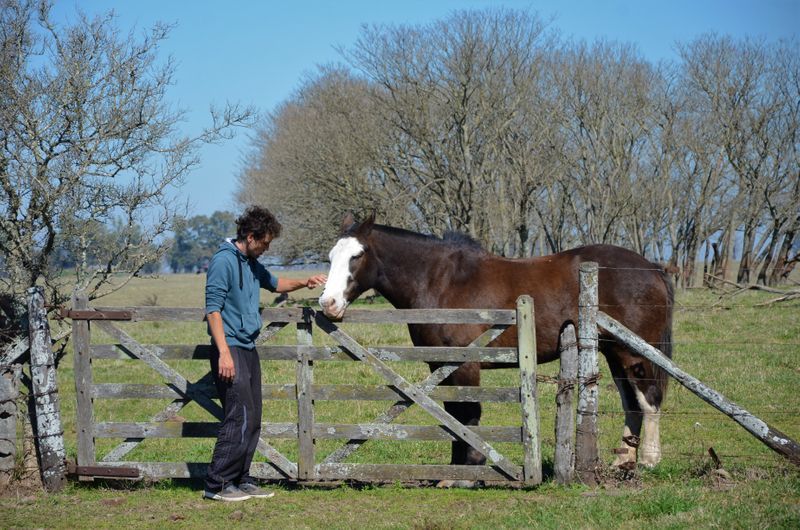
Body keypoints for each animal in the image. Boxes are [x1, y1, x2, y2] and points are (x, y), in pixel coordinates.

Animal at [318, 212, 676, 468]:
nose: (328, 303)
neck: (441, 282)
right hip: (615, 353)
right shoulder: (440, 363)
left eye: (358, 255)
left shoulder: (464, 364)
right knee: (632, 404)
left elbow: (467, 414)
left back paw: (648, 460)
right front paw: (454, 470)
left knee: (649, 400)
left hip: (633, 354)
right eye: (331, 256)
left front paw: (469, 470)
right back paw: (623, 461)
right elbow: (452, 414)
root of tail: (651, 267)